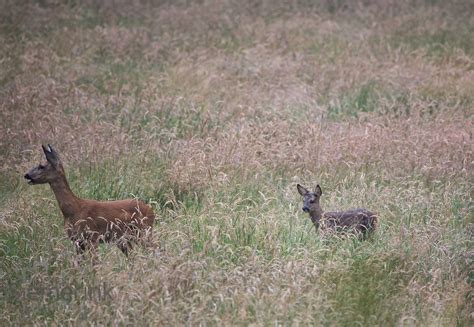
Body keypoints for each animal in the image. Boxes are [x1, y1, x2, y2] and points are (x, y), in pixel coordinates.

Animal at [24, 145, 156, 258]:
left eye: (41, 166)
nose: (27, 175)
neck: (73, 209)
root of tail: (151, 210)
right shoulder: (77, 241)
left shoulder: (92, 237)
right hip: (125, 239)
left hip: (144, 231)